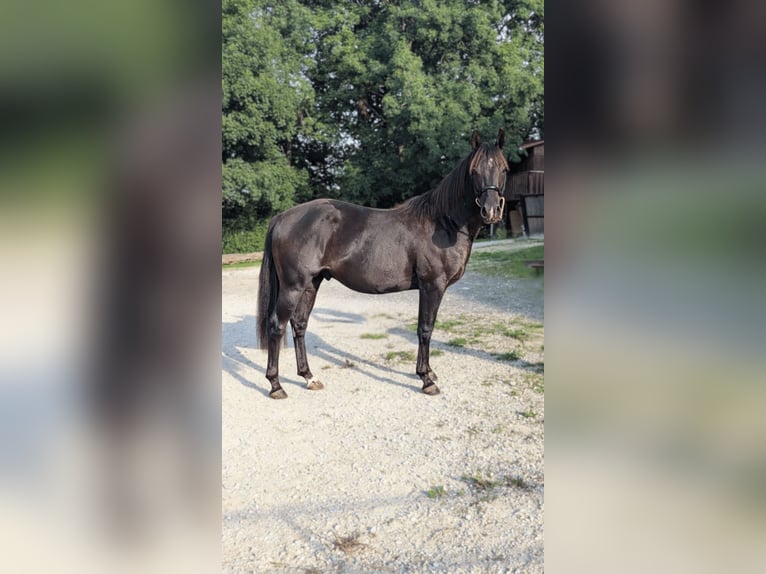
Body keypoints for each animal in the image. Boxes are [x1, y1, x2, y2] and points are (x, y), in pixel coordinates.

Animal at [257, 128, 508, 399]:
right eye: (474, 171)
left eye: (504, 169)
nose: (491, 211)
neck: (442, 224)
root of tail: (282, 217)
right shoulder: (432, 286)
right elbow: (425, 329)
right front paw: (426, 379)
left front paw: (429, 373)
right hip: (293, 287)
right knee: (277, 325)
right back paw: (276, 385)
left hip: (311, 284)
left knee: (299, 324)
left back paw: (309, 377)